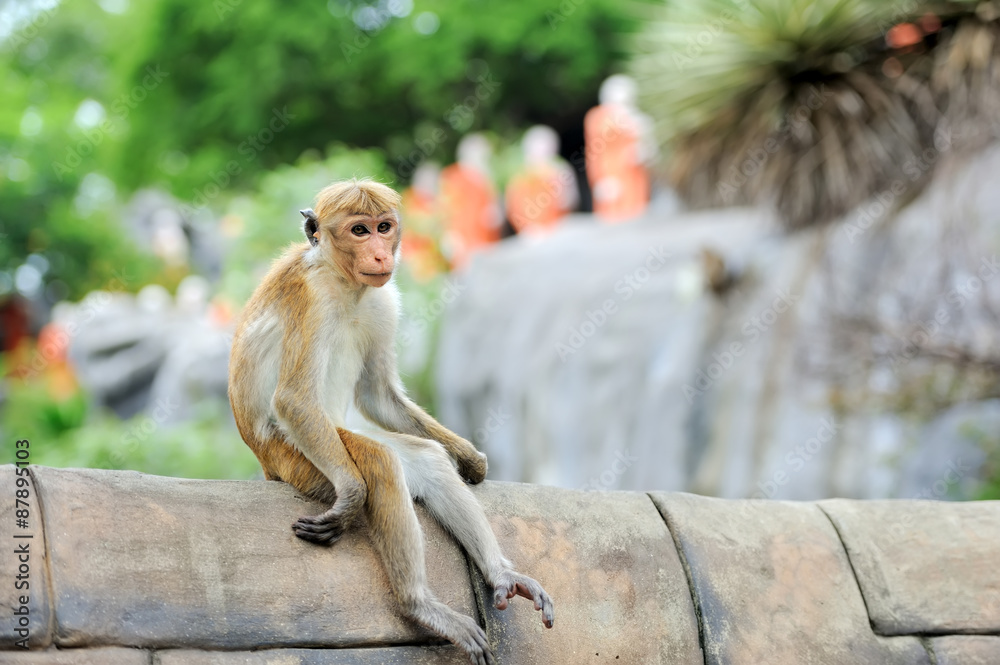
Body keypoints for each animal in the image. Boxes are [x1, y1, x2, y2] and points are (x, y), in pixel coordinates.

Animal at [228, 179, 556, 660]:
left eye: (384, 227)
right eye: (359, 230)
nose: (381, 254)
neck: (343, 281)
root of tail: (265, 463)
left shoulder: (383, 299)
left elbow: (378, 395)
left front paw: (471, 459)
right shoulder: (312, 297)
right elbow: (294, 399)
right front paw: (350, 495)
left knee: (425, 460)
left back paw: (500, 575)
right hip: (297, 457)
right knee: (378, 462)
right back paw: (417, 603)